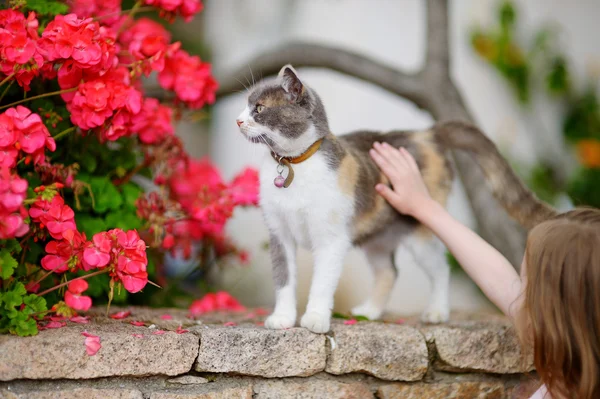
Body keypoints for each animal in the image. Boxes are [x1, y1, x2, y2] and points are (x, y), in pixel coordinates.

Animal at [233, 65, 552, 334]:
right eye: (245, 106)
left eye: (259, 109)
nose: (237, 120)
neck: (294, 164)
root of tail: (425, 134)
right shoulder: (280, 234)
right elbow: (283, 279)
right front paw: (283, 318)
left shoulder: (331, 238)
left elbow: (322, 282)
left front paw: (315, 318)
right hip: (377, 237)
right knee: (389, 272)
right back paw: (370, 311)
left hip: (420, 228)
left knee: (440, 267)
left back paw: (437, 311)